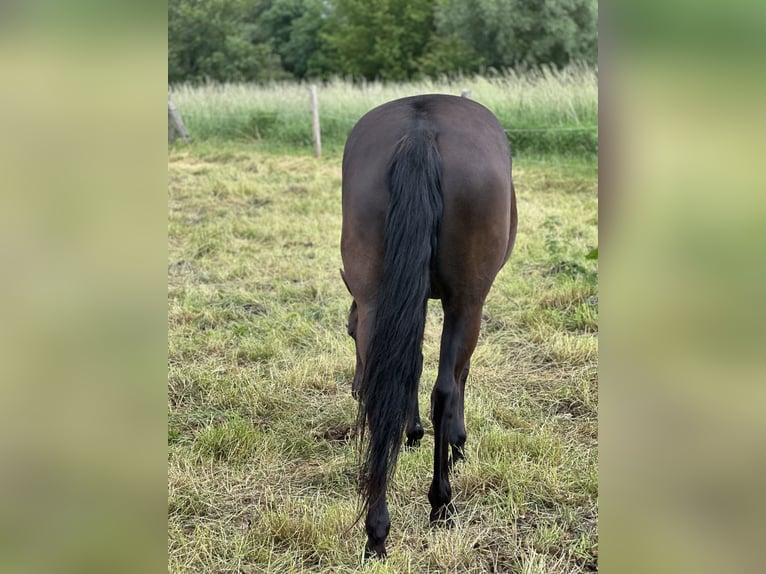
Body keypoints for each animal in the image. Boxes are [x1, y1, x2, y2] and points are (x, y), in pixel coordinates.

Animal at [340, 94, 517, 558]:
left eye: (347, 332)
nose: (352, 387)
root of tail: (421, 128)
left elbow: (412, 363)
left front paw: (411, 431)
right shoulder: (468, 305)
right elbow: (457, 378)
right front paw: (457, 443)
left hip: (377, 297)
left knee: (385, 386)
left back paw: (377, 532)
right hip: (466, 304)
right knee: (444, 390)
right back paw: (441, 503)